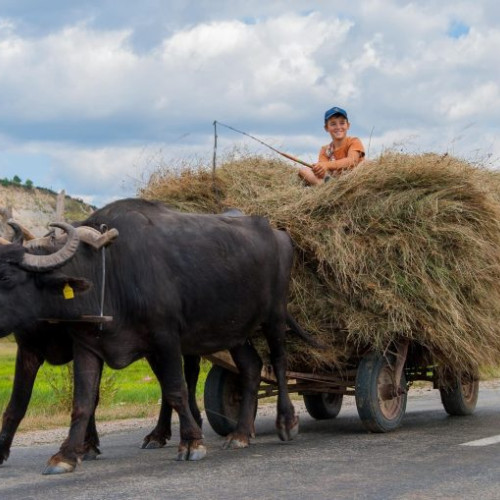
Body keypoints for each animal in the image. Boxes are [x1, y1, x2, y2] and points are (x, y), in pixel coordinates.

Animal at [0, 198, 300, 472]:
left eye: (7, 278)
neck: (110, 274)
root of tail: (278, 233)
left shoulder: (166, 338)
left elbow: (176, 389)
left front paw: (191, 442)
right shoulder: (83, 345)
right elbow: (79, 402)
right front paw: (66, 455)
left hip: (275, 317)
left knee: (279, 361)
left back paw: (286, 422)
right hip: (234, 331)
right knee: (252, 367)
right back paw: (240, 434)